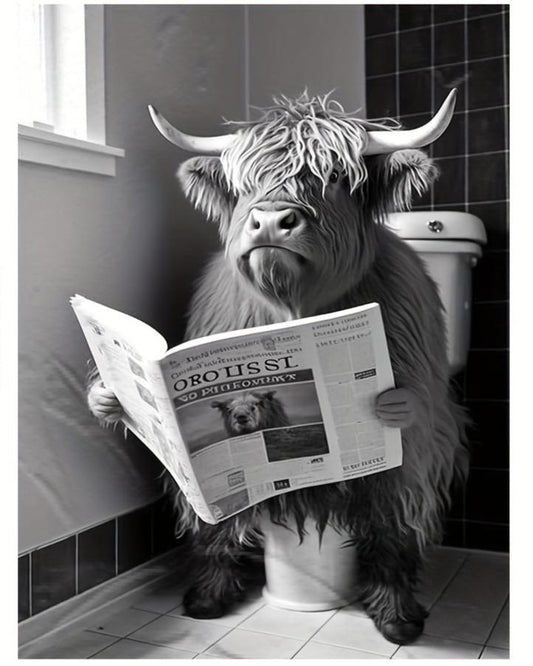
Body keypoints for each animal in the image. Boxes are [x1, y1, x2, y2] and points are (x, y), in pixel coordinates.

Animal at [89, 89, 468, 644]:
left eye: (335, 176)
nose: (270, 220)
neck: (294, 308)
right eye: (246, 181)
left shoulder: (419, 428)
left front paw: (396, 612)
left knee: (393, 513)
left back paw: (395, 613)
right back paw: (212, 590)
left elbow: (397, 504)